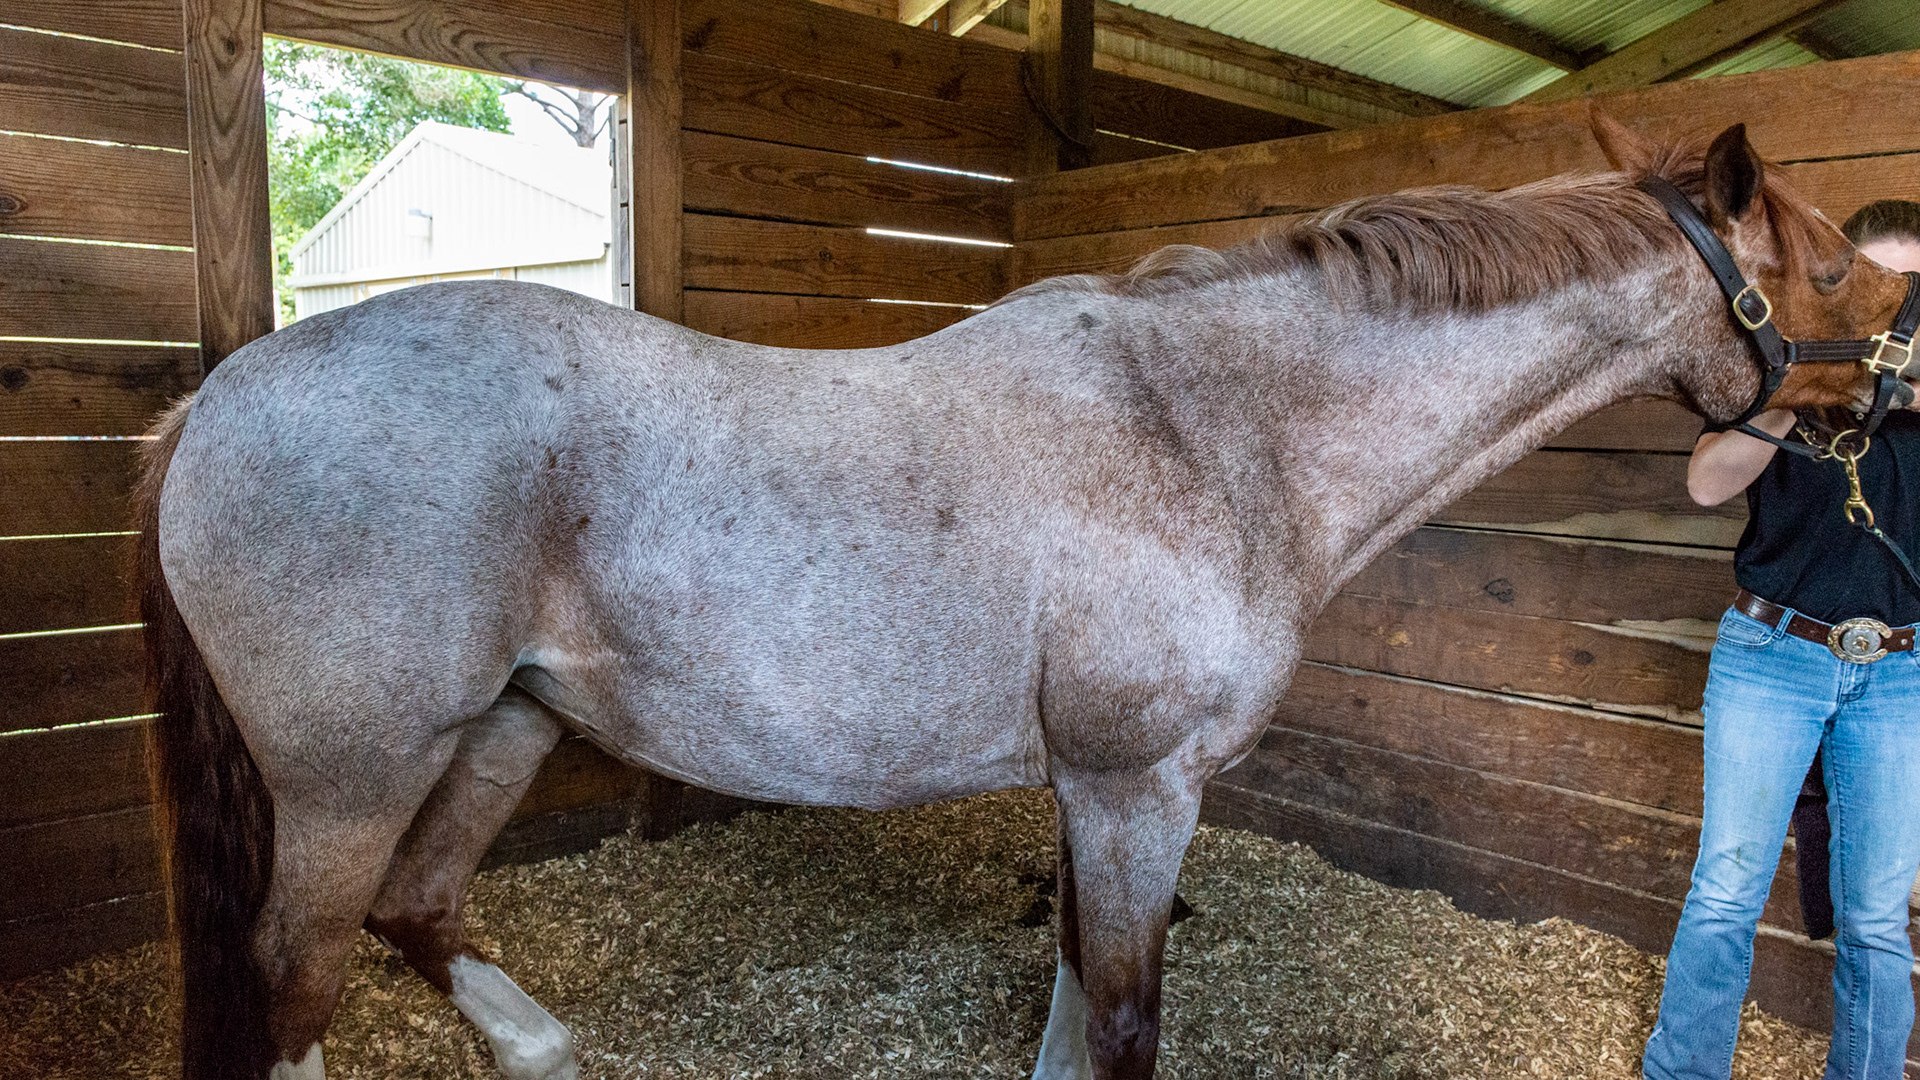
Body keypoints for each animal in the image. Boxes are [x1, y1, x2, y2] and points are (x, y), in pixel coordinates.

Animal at [136, 113, 1914, 1080]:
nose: (1882, 400)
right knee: (298, 969)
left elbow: (1071, 1001)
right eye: (1832, 268)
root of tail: (219, 398)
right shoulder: (1136, 789)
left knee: (413, 908)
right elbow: (1121, 1022)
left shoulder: (1093, 794)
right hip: (354, 771)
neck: (1209, 429)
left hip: (505, 727)